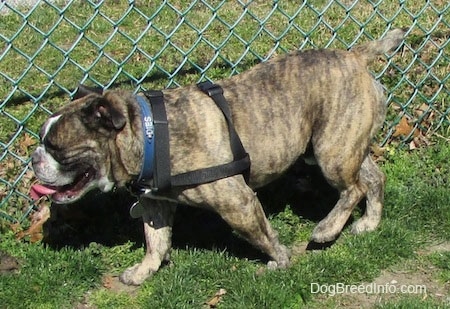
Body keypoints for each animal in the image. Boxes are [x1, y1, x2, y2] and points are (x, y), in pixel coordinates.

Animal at [30, 28, 404, 284]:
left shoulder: (237, 203)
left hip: (330, 153)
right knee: (373, 178)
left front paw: (280, 259)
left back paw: (326, 229)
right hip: (339, 145)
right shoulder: (154, 205)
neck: (145, 134)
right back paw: (369, 223)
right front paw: (143, 272)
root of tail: (354, 56)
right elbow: (156, 241)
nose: (34, 158)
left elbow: (262, 235)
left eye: (56, 148)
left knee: (352, 189)